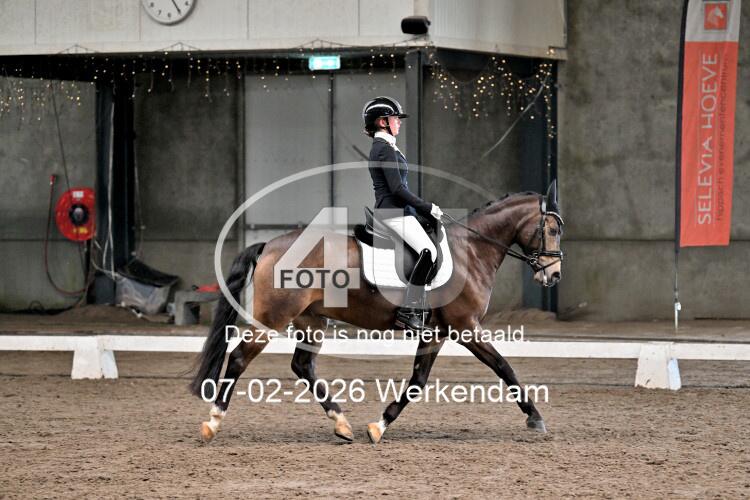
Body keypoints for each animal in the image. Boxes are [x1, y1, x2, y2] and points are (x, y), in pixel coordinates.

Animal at [189, 182, 564, 444]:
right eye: (552, 230)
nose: (554, 275)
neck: (471, 252)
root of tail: (269, 244)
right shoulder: (466, 328)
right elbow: (503, 366)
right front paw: (535, 418)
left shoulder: (438, 333)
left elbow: (418, 381)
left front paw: (379, 425)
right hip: (273, 318)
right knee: (240, 358)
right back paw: (212, 422)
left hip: (311, 320)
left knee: (303, 366)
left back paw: (342, 424)